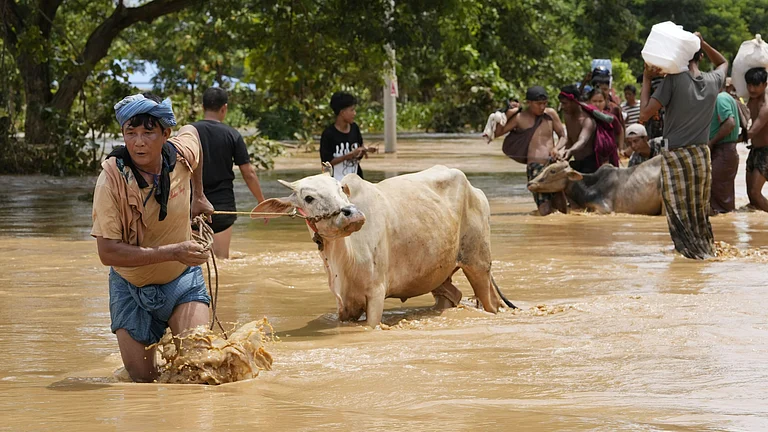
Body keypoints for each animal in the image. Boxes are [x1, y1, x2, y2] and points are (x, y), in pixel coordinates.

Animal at [251, 165, 516, 327]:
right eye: (308, 198)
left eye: (340, 189)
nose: (353, 214)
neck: (343, 258)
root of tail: (475, 190)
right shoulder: (343, 304)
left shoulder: (376, 294)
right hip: (438, 273)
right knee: (453, 295)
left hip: (478, 264)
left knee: (490, 302)